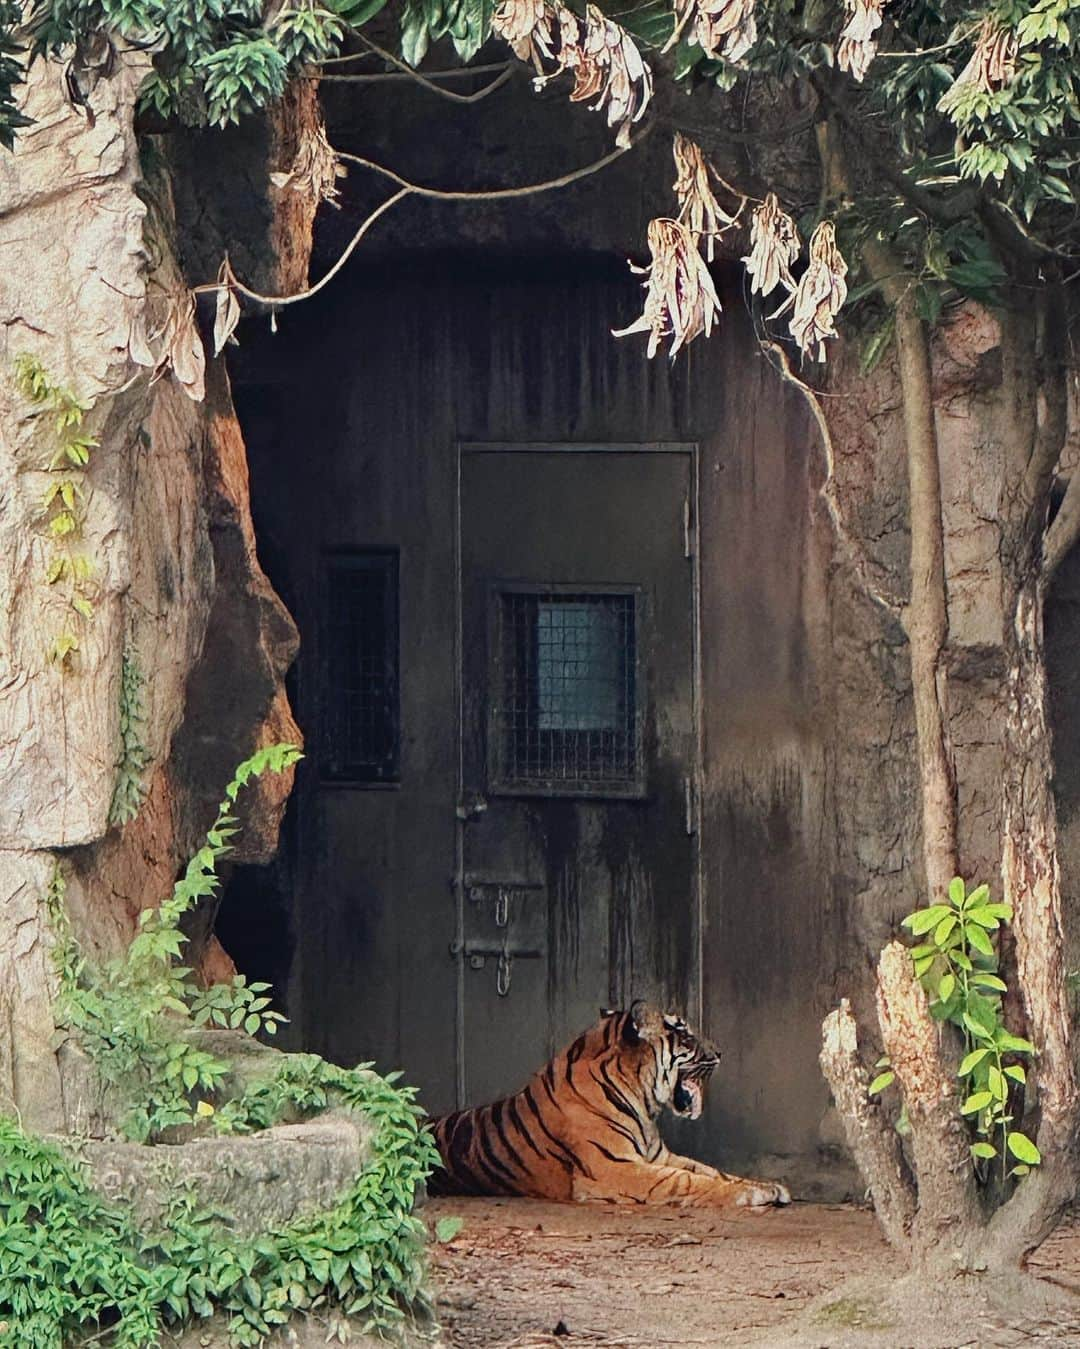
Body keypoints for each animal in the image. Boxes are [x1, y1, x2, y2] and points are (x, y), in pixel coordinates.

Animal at [426, 1003, 787, 1214]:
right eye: (684, 1034)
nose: (721, 1052)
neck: (643, 1101)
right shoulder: (614, 1167)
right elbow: (687, 1180)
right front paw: (751, 1194)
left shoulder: (659, 1156)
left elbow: (711, 1170)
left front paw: (767, 1186)